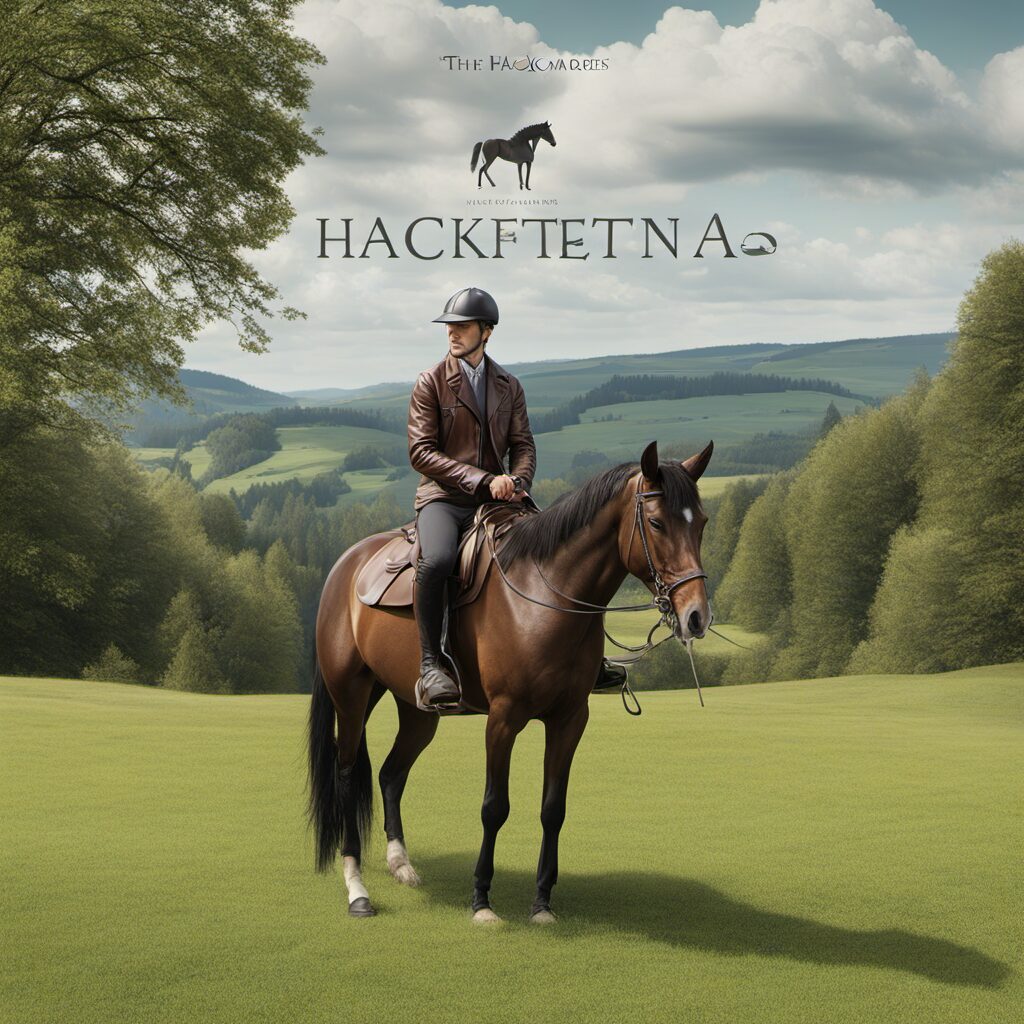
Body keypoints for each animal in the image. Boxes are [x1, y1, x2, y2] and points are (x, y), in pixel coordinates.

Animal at [306, 439, 713, 922]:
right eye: (655, 522)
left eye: (702, 523)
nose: (697, 616)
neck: (543, 596)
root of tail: (344, 566)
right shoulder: (502, 718)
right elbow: (493, 807)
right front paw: (482, 899)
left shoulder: (570, 719)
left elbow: (553, 808)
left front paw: (542, 901)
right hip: (351, 696)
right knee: (348, 775)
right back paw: (357, 888)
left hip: (417, 709)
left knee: (391, 773)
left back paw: (400, 863)